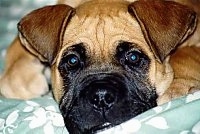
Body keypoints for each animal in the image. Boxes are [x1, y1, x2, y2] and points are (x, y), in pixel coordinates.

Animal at [0, 0, 200, 133]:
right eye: (72, 61)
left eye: (133, 57)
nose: (101, 97)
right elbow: (17, 46)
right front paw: (20, 78)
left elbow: (184, 54)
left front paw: (178, 87)